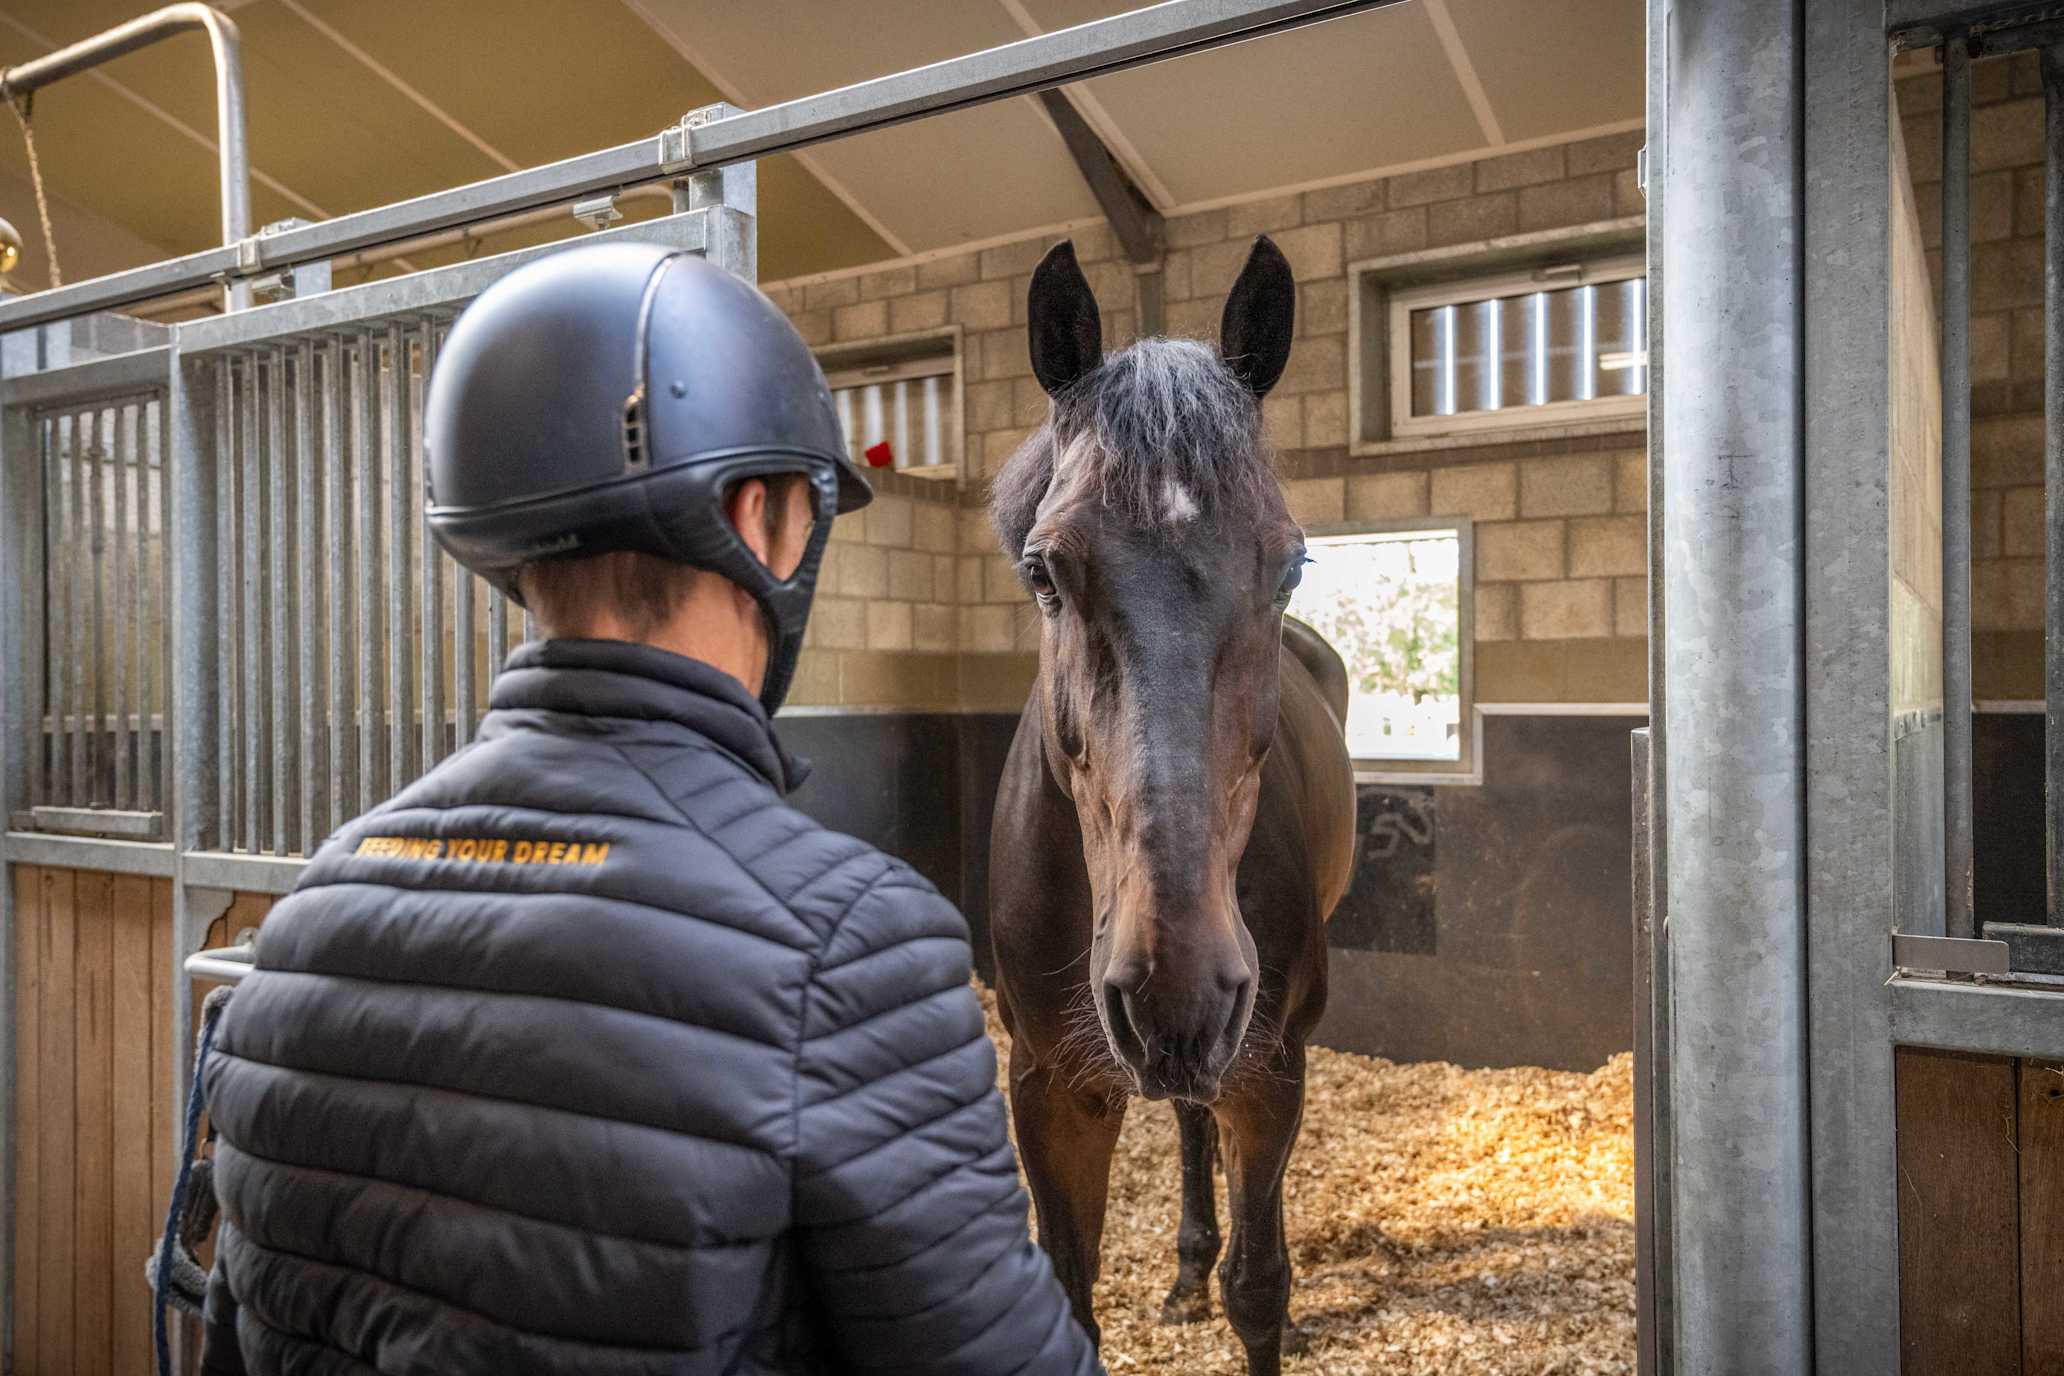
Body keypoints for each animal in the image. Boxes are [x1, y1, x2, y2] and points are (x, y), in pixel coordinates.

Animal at [987, 235, 1358, 1376]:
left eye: (1290, 566)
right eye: (1044, 572)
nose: (1176, 982)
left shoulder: (1270, 1070)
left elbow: (1262, 1286)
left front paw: (1253, 1283)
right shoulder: (1051, 1088)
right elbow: (1071, 1295)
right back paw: (1186, 1264)